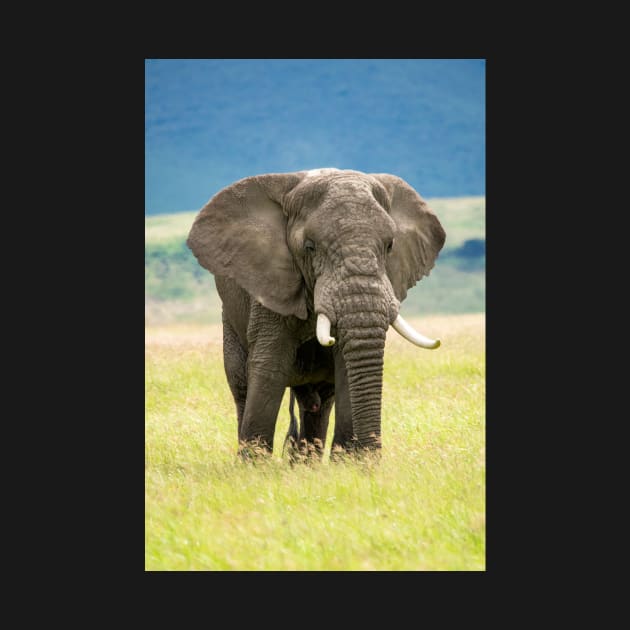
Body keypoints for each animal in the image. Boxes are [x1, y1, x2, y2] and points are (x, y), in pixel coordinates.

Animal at [185, 170, 446, 462]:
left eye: (390, 246)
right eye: (310, 247)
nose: (371, 459)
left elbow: (345, 368)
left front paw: (347, 465)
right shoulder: (269, 285)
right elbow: (269, 367)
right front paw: (254, 467)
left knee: (318, 401)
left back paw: (304, 464)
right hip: (230, 318)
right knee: (241, 386)